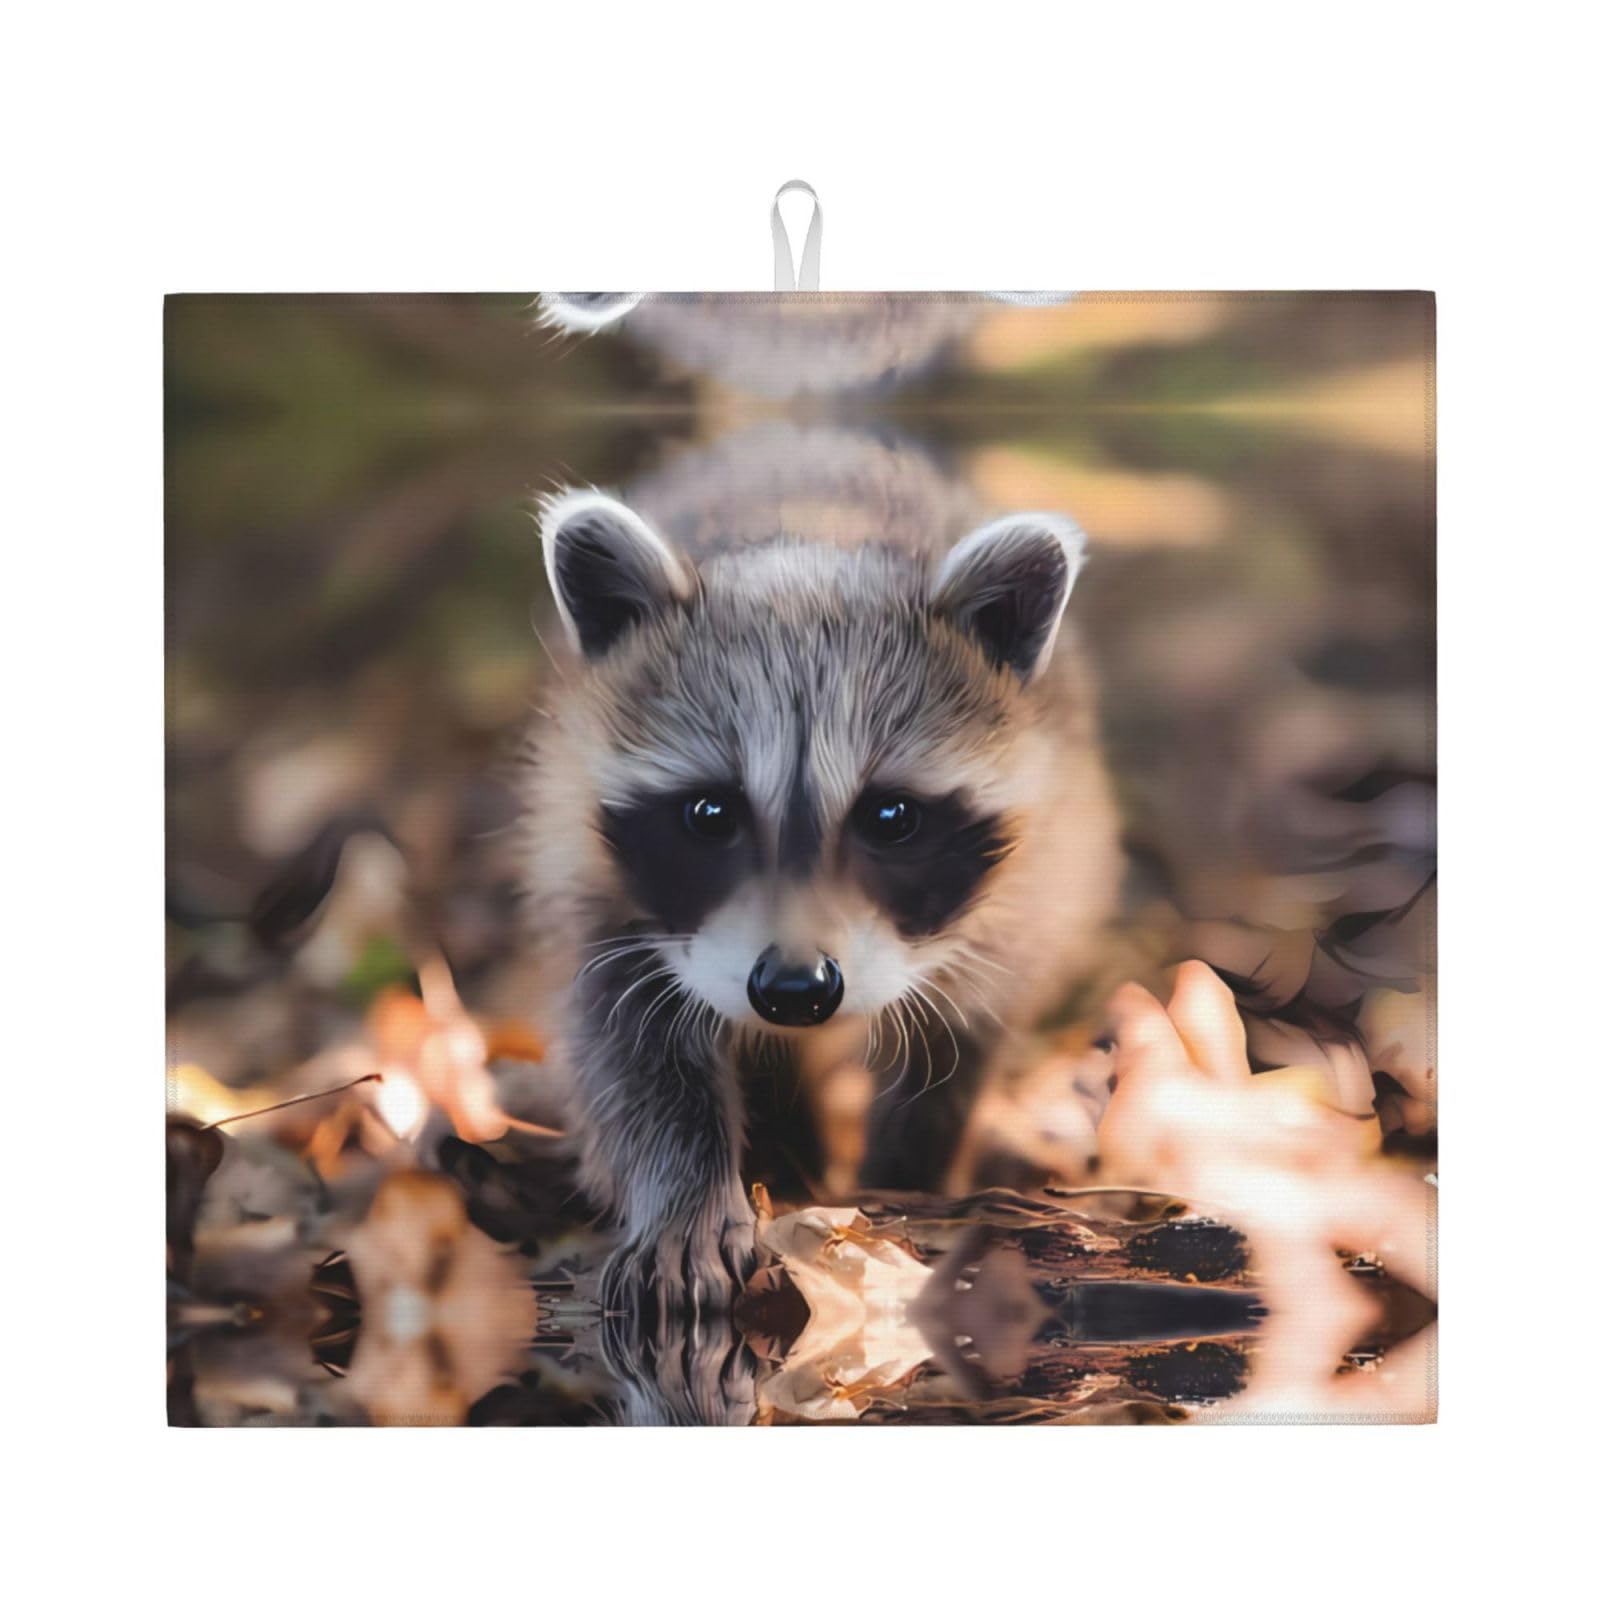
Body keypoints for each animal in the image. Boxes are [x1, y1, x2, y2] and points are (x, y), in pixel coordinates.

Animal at [521, 482, 1122, 1305]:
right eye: (710, 814)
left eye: (892, 817)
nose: (795, 990)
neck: (812, 539)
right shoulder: (590, 874)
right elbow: (629, 1050)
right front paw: (683, 1199)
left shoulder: (1029, 885)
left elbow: (956, 1041)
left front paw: (906, 1177)